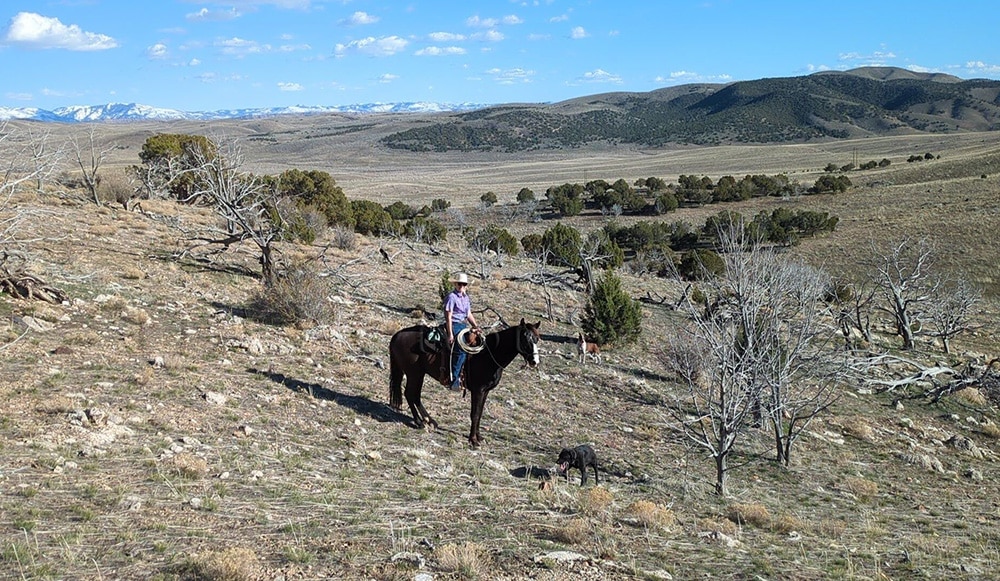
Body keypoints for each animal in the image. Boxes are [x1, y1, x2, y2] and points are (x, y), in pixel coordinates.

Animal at [388, 318, 541, 447]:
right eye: (525, 339)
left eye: (537, 339)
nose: (535, 361)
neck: (488, 354)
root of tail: (397, 335)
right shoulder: (478, 390)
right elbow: (474, 414)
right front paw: (473, 440)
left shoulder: (485, 391)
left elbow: (479, 413)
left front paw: (479, 437)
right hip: (415, 374)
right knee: (410, 394)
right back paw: (420, 422)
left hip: (418, 374)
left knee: (414, 395)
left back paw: (429, 421)